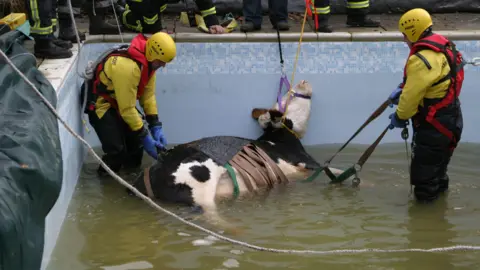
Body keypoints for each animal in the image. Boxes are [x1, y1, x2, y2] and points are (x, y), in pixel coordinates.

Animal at [128, 80, 352, 232]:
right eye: (287, 97)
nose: (303, 81)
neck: (279, 137)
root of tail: (150, 172)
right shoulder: (305, 161)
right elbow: (335, 169)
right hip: (199, 181)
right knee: (209, 215)